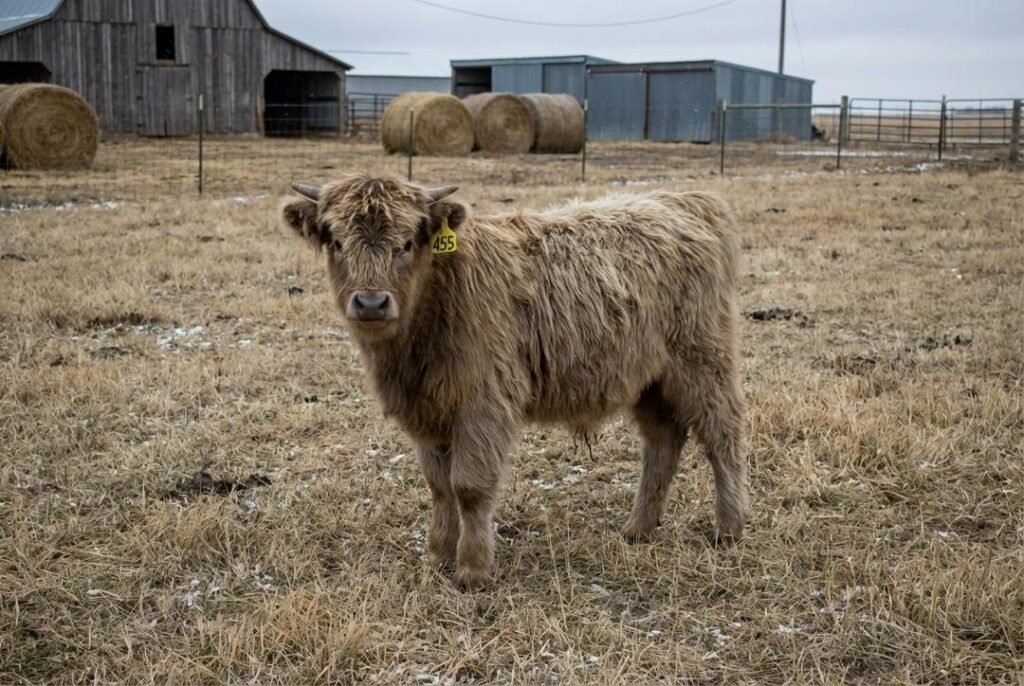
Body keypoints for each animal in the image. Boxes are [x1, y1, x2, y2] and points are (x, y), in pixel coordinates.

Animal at [281, 175, 749, 588]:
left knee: (722, 435)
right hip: (648, 378)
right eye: (336, 241)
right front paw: (438, 555)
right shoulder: (429, 411)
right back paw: (638, 528)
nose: (371, 302)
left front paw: (472, 569)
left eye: (408, 242)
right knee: (663, 441)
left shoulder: (484, 403)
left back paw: (729, 528)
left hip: (703, 361)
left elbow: (469, 486)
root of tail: (685, 200)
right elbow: (439, 487)